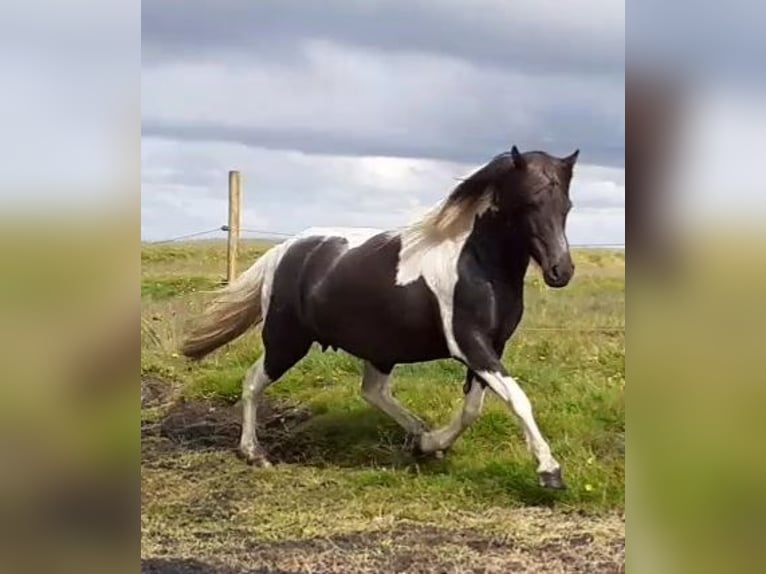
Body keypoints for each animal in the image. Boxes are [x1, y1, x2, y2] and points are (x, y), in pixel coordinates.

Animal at [182, 145, 584, 490]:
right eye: (530, 202)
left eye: (566, 205)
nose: (560, 271)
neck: (477, 263)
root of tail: (283, 250)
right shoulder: (470, 343)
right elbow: (517, 398)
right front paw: (550, 471)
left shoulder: (490, 347)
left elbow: (473, 407)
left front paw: (431, 444)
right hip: (286, 341)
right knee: (253, 382)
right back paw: (254, 453)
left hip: (376, 348)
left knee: (372, 391)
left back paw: (419, 436)